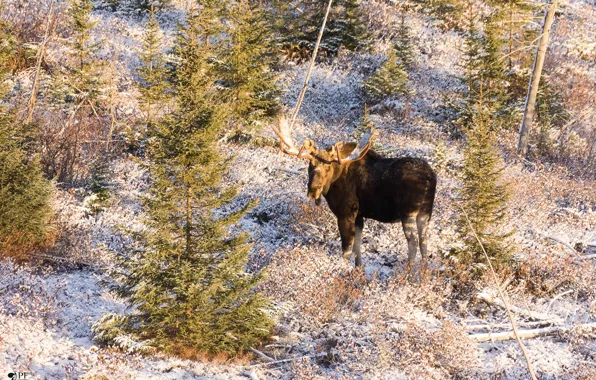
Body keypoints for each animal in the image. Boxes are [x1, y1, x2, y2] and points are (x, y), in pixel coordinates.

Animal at [274, 117, 438, 268]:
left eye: (327, 167)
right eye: (310, 165)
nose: (313, 189)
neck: (332, 183)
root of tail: (430, 177)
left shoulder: (345, 213)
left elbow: (346, 249)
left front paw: (342, 269)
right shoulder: (359, 215)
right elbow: (357, 247)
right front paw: (358, 269)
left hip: (408, 212)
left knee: (413, 241)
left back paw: (408, 272)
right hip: (425, 211)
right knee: (424, 241)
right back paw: (424, 270)